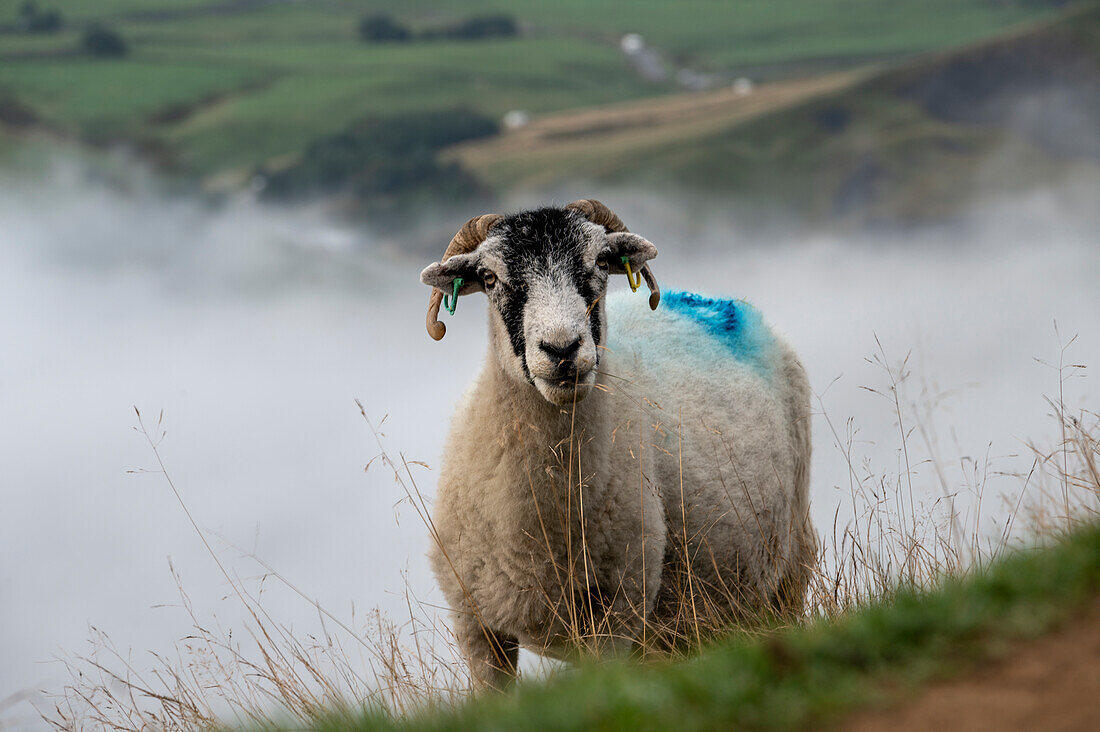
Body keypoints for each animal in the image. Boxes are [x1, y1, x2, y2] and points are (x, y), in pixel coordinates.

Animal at [420, 198, 818, 686]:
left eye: (599, 262)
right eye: (490, 277)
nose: (562, 350)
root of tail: (717, 302)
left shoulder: (617, 614)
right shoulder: (477, 627)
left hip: (786, 572)